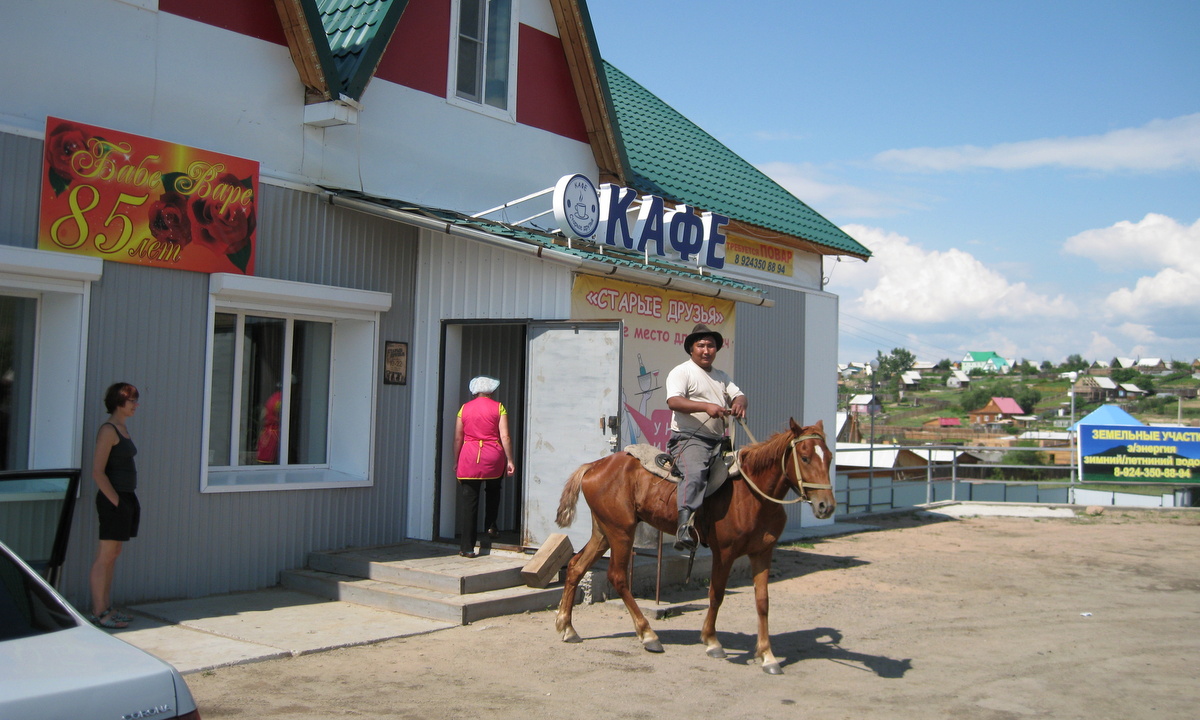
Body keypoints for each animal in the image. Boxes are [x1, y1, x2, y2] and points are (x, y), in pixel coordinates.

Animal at [554, 420, 830, 672]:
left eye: (828, 457)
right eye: (805, 457)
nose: (826, 506)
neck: (753, 494)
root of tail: (594, 466)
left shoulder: (762, 552)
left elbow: (762, 601)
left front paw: (767, 656)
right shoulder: (724, 553)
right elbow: (716, 594)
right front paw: (712, 641)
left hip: (603, 531)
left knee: (576, 567)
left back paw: (567, 627)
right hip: (621, 532)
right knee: (617, 576)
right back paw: (648, 635)